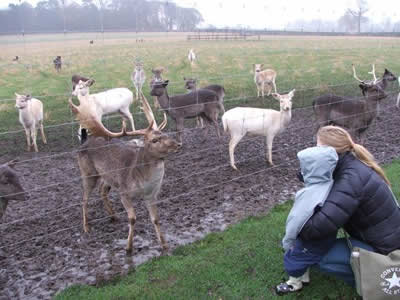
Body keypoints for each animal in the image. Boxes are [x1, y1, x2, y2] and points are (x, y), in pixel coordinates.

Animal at [69, 91, 180, 253]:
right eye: (154, 140)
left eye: (165, 134)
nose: (178, 144)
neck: (143, 180)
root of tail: (84, 141)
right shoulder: (124, 191)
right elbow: (133, 218)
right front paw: (128, 248)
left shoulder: (151, 194)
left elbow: (156, 219)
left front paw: (164, 245)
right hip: (87, 172)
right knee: (84, 198)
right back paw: (86, 227)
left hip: (108, 176)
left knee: (102, 191)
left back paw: (114, 216)